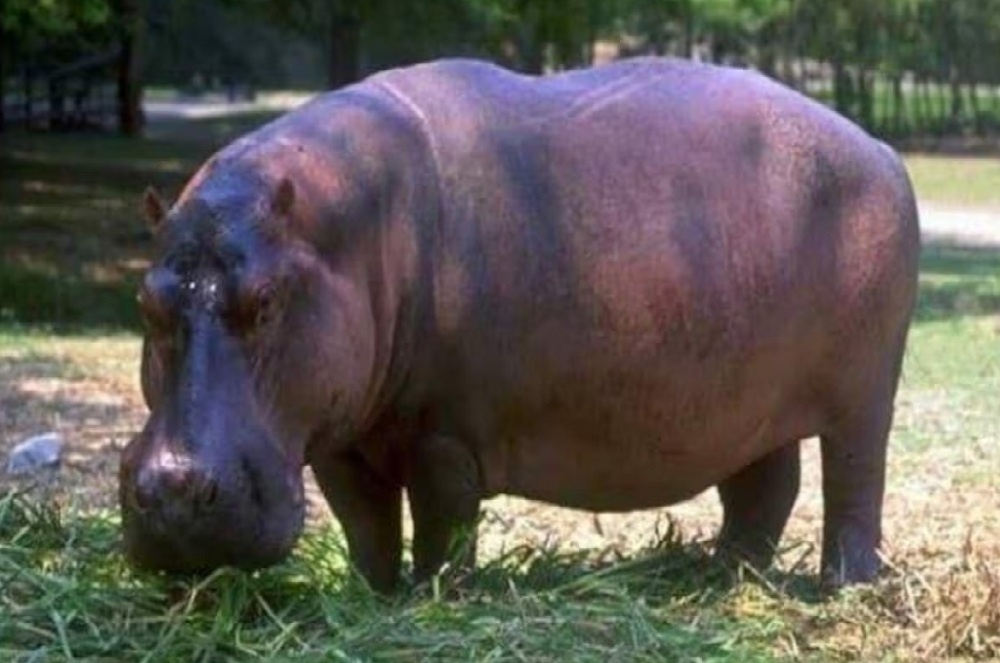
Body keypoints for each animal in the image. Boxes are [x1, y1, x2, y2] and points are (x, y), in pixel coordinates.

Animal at [120, 57, 920, 593]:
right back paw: (722, 574)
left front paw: (435, 598)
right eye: (145, 303)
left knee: (854, 481)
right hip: (749, 400)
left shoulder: (444, 431)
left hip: (863, 394)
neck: (346, 232)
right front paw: (369, 595)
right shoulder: (338, 437)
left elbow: (443, 522)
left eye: (263, 302)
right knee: (765, 488)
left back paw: (846, 587)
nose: (174, 489)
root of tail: (880, 147)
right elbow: (364, 524)